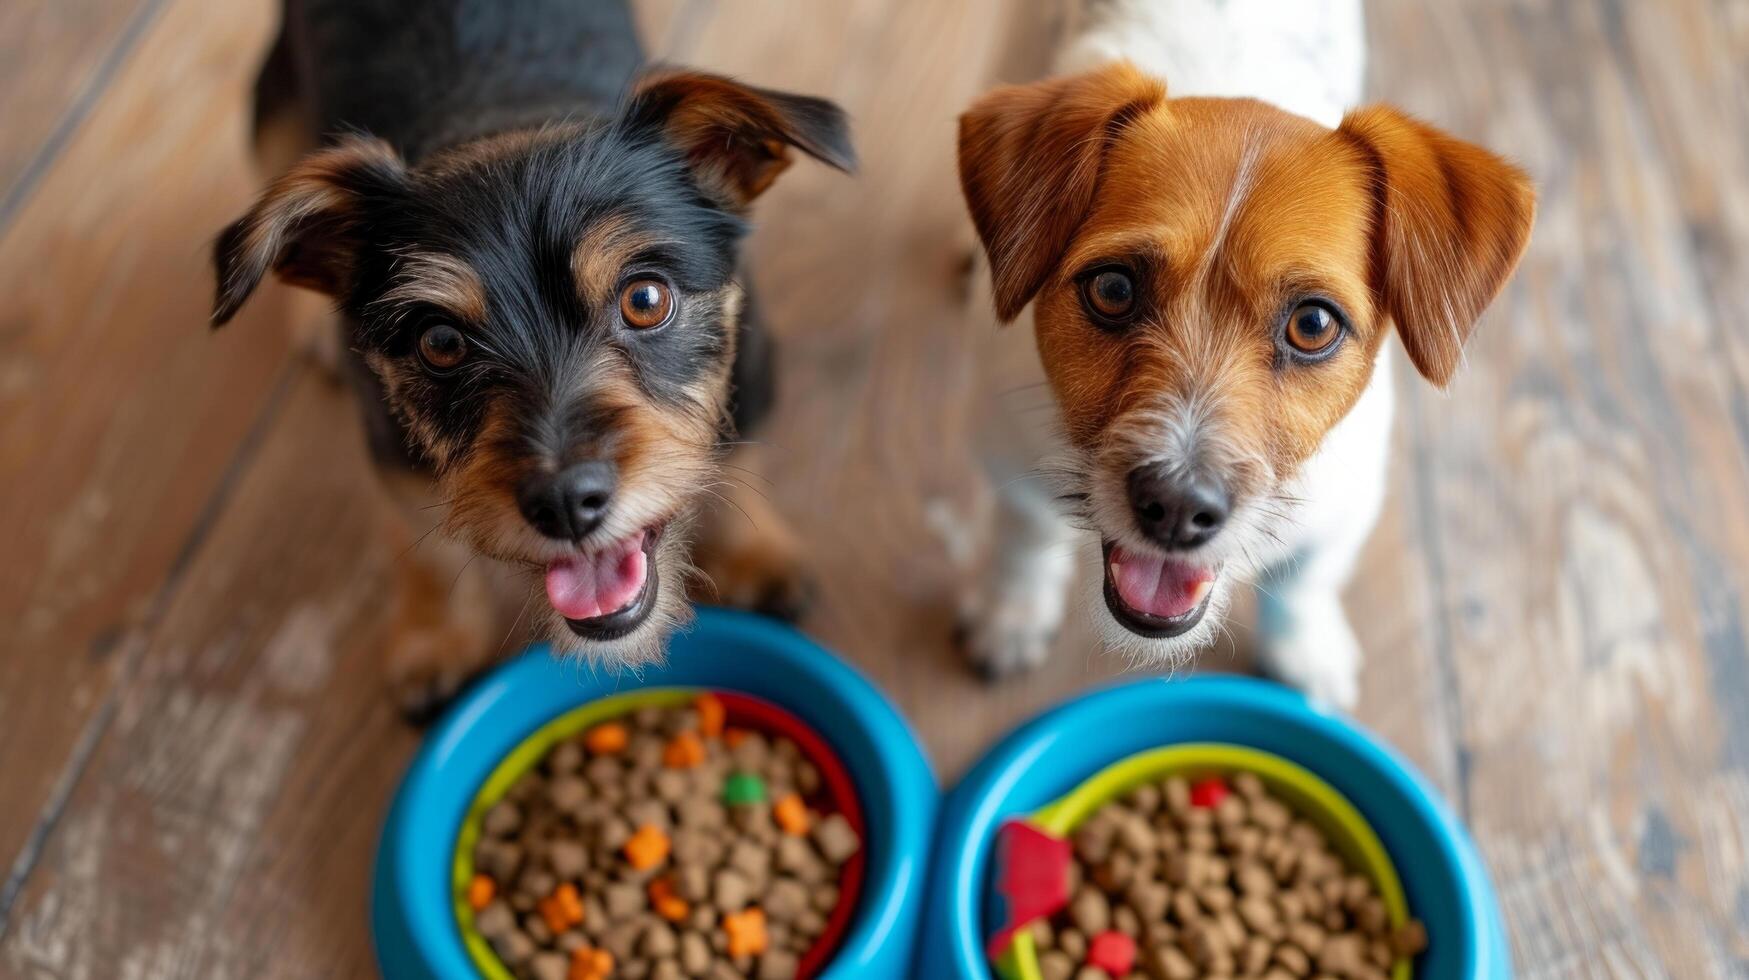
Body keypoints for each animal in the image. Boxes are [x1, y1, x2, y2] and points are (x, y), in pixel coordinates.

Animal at [958, 0, 1532, 703]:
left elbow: (1303, 581)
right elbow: (1023, 542)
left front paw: (1305, 651)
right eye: (1113, 289)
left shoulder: (1343, 509)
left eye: (1313, 324)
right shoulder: (1007, 458)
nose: (1177, 509)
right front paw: (1011, 614)